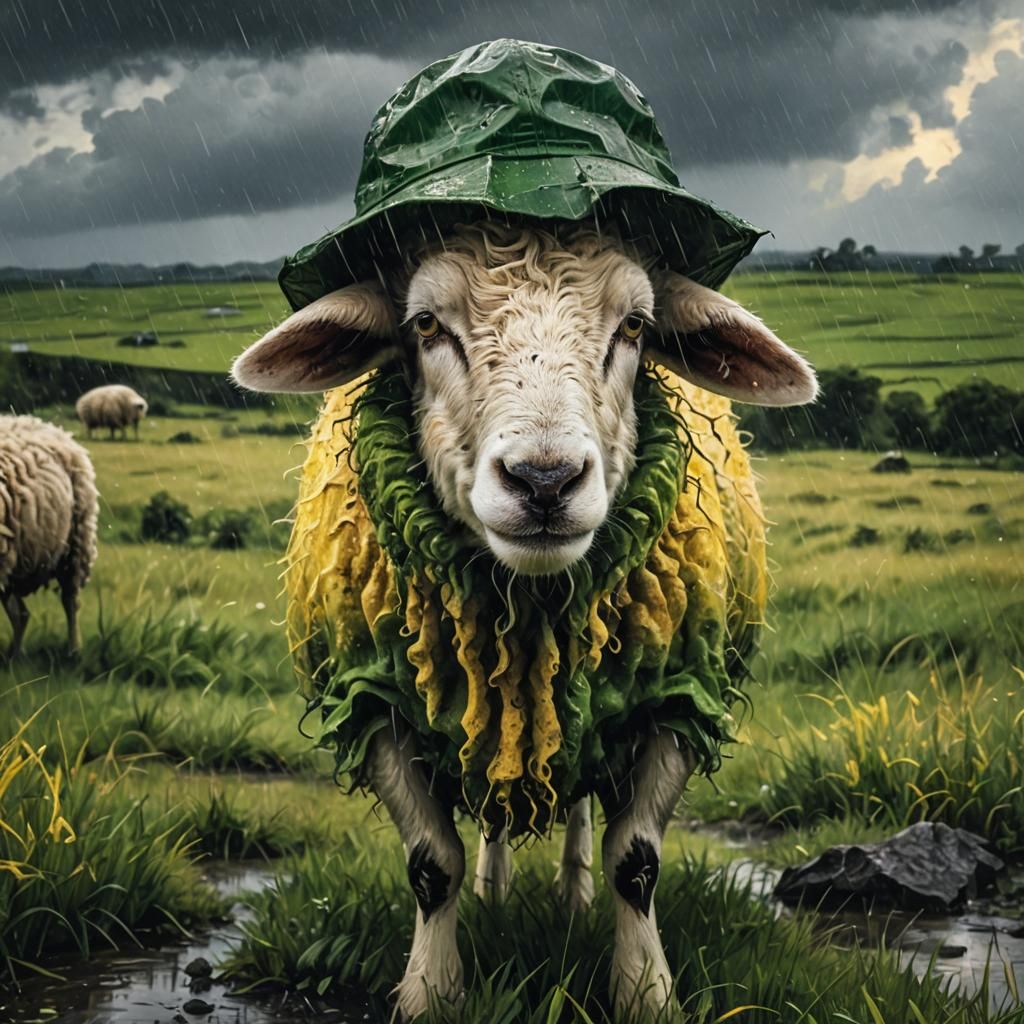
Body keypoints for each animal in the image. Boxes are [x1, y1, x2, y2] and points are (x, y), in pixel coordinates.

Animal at [0, 415, 99, 657]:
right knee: (21, 615)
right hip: (12, 559)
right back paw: (15, 656)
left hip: (76, 543)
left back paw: (74, 651)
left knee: (70, 601)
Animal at [232, 221, 816, 1021]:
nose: (544, 481)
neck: (529, 609)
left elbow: (636, 861)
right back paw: (495, 887)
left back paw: (571, 893)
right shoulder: (377, 706)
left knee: (578, 810)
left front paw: (646, 992)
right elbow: (431, 864)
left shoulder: (676, 699)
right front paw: (430, 992)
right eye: (425, 325)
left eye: (635, 326)